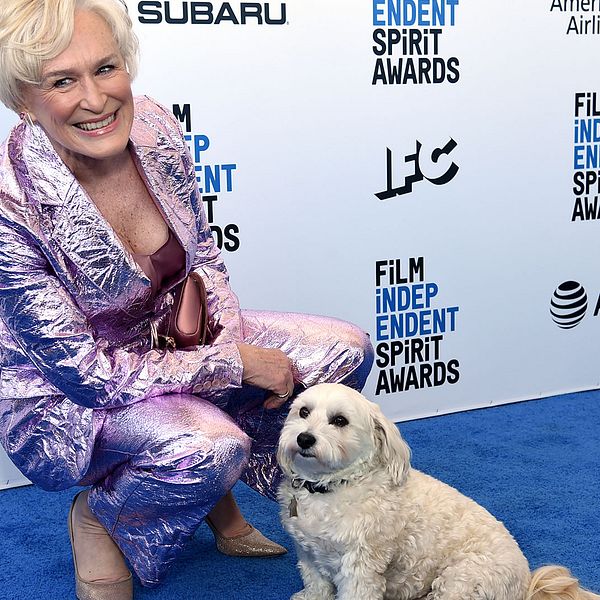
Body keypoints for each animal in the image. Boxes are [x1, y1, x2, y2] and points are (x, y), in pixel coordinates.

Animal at [278, 384, 600, 600]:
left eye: (340, 421)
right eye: (303, 412)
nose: (304, 438)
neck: (331, 487)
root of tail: (524, 582)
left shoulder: (361, 567)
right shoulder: (308, 553)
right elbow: (316, 583)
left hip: (462, 579)